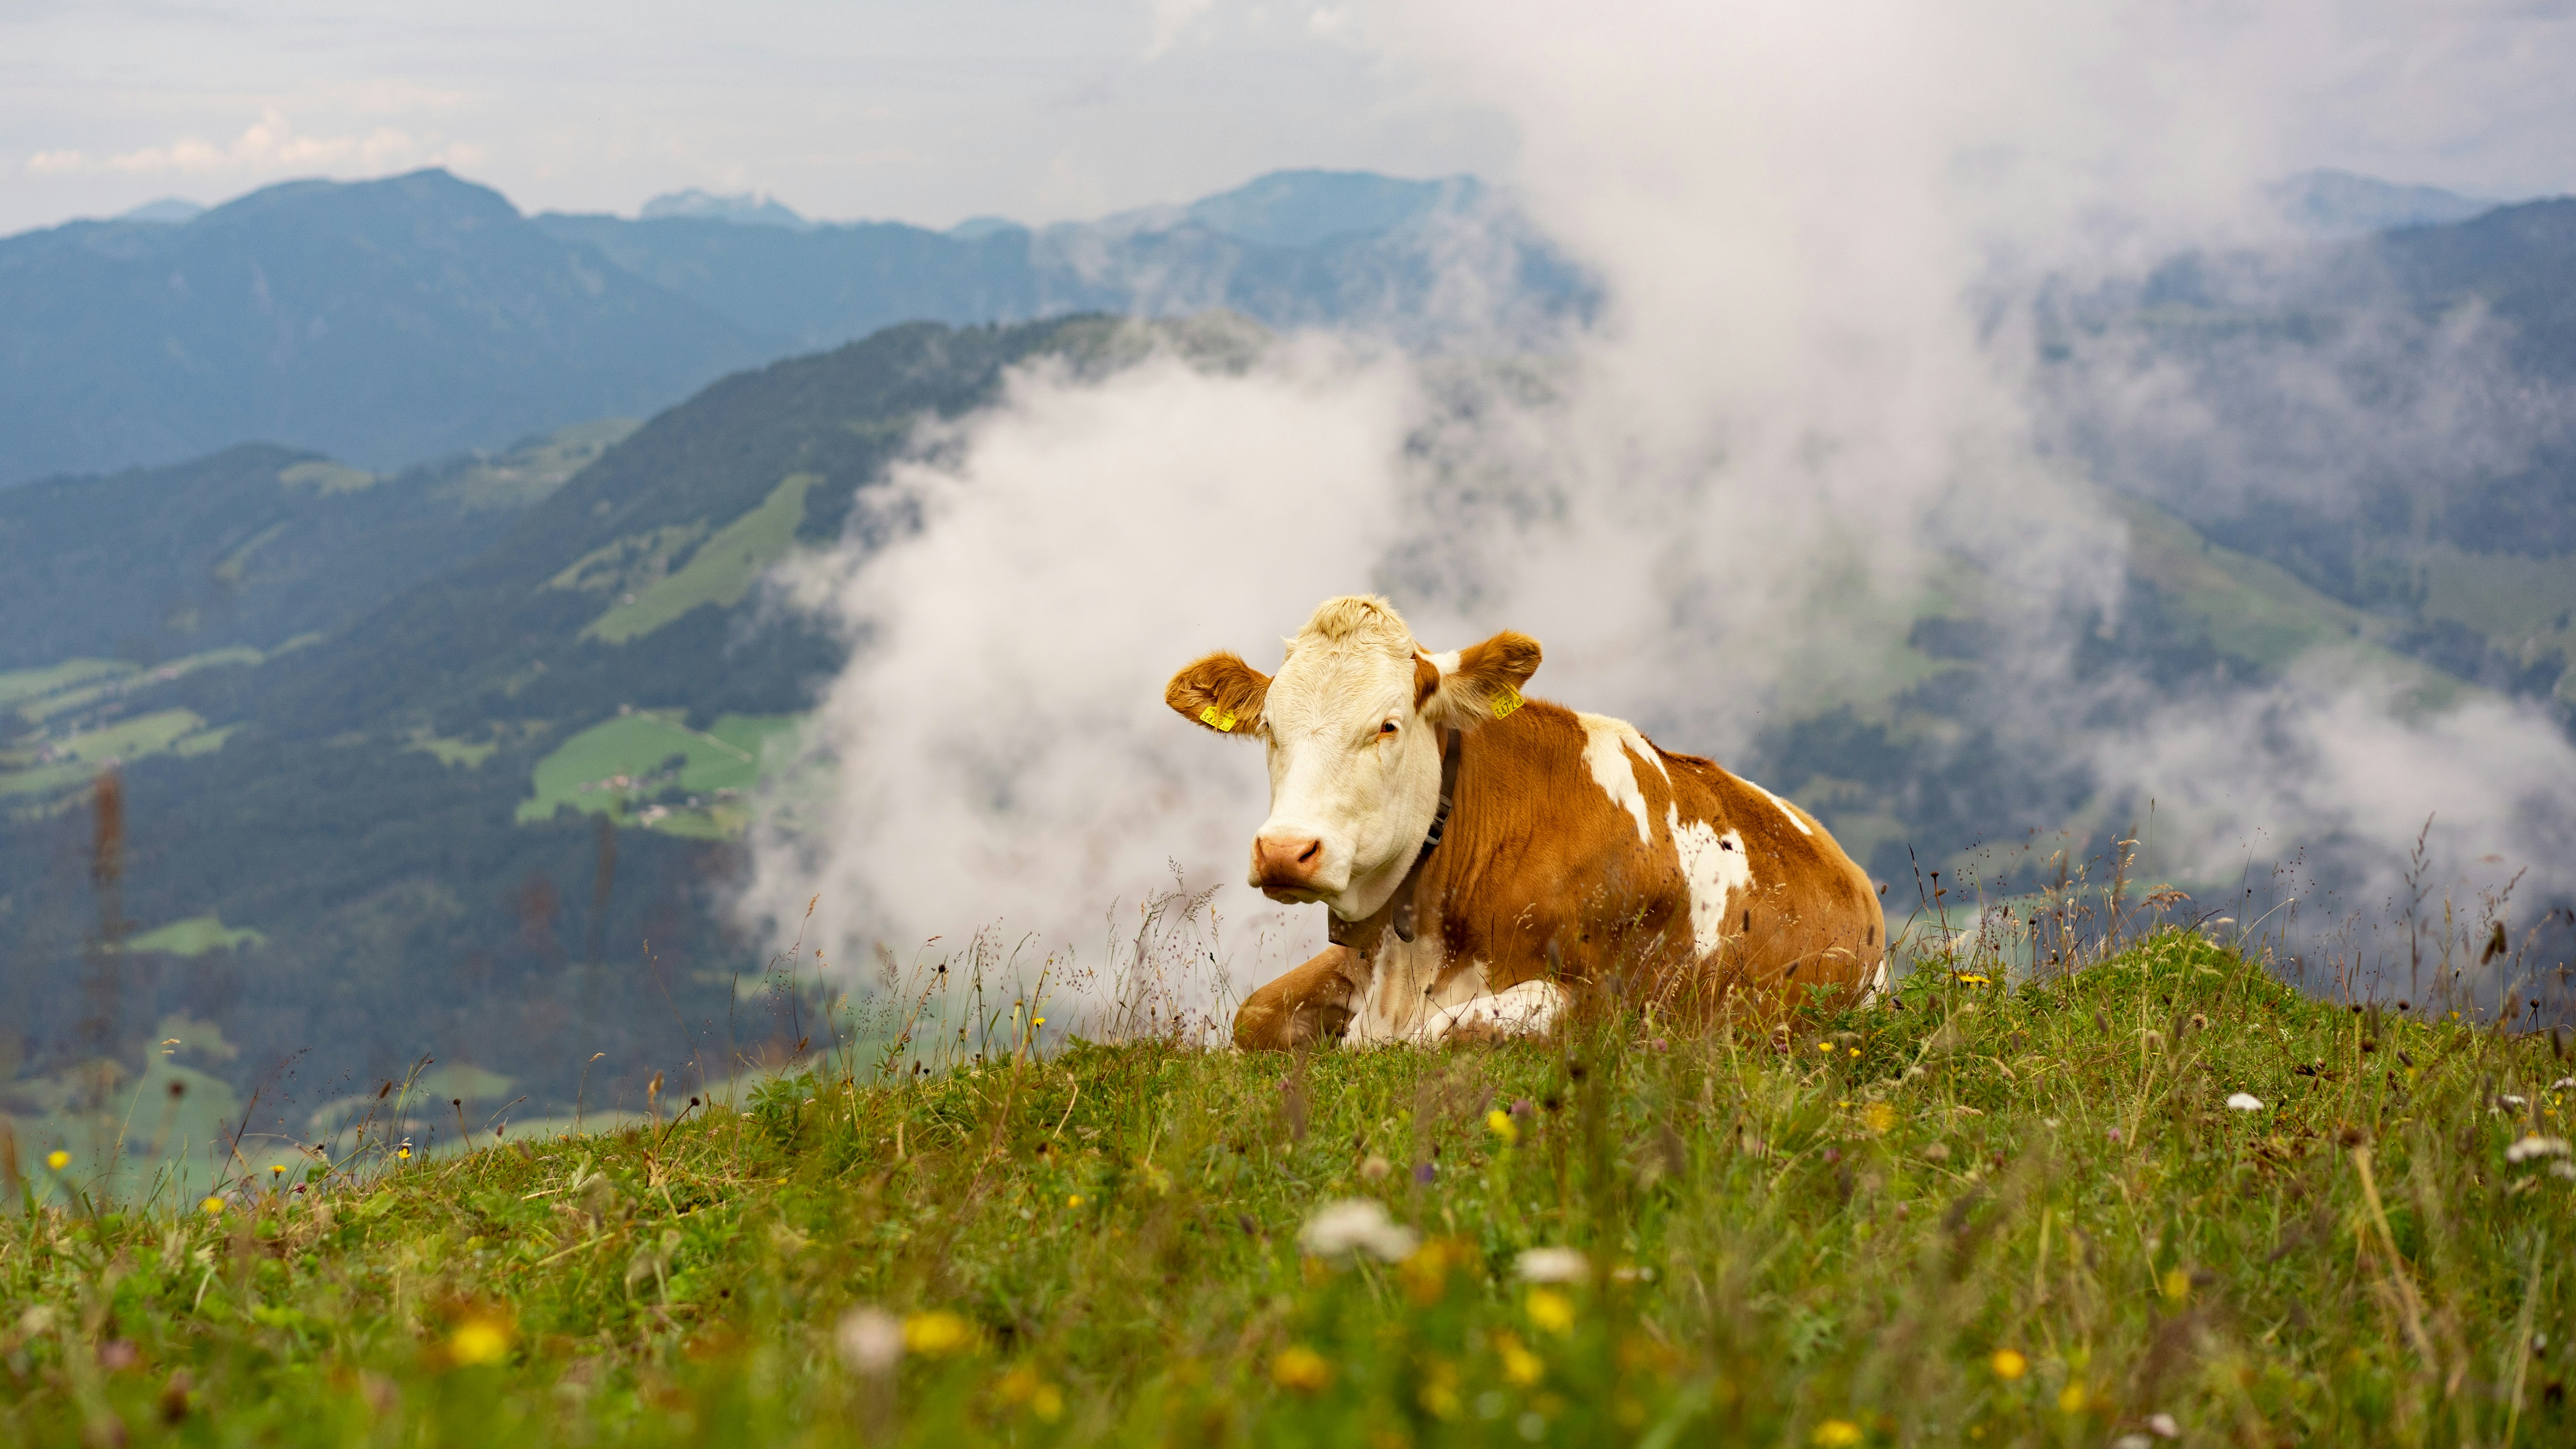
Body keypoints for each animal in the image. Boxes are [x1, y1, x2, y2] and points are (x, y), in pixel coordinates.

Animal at [1164, 595, 1886, 1050]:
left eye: (1387, 725)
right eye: (1269, 728)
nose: (1286, 851)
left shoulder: (1606, 1003)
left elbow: (1435, 1035)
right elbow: (1251, 1015)